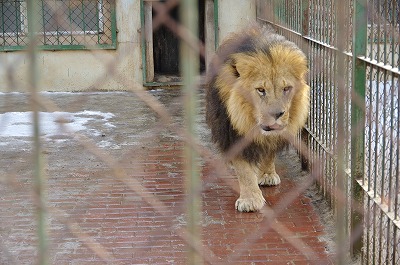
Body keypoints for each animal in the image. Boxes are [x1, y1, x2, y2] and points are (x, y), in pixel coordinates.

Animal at [206, 24, 310, 210]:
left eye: (286, 89)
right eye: (261, 90)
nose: (276, 114)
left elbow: (269, 152)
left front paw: (267, 175)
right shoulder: (232, 133)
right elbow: (244, 170)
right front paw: (250, 200)